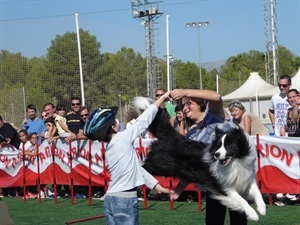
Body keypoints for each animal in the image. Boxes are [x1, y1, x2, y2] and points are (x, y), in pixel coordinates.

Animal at [132, 96, 266, 220]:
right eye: (218, 146)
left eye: (229, 146)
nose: (216, 154)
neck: (234, 163)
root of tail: (172, 135)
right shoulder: (224, 187)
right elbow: (241, 200)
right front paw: (253, 214)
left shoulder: (244, 178)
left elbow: (257, 192)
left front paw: (262, 208)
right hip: (161, 164)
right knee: (144, 165)